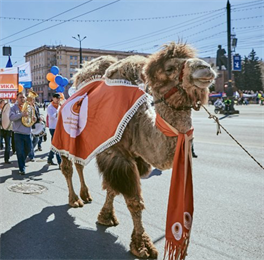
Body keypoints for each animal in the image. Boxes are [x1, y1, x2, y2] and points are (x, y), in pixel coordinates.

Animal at [59, 42, 217, 258]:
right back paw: (74, 200)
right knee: (67, 167)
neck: (138, 123)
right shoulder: (117, 155)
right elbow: (134, 201)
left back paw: (85, 195)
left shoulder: (134, 157)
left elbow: (112, 189)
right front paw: (142, 246)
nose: (206, 68)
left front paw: (106, 217)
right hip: (62, 137)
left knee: (79, 164)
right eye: (170, 68)